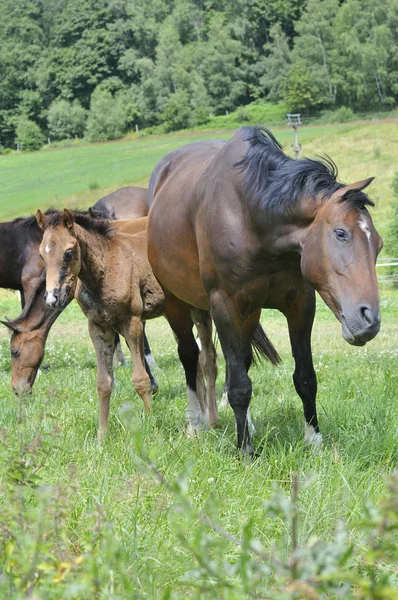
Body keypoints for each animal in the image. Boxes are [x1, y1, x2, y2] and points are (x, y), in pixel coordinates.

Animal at [148, 126, 384, 454]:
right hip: (177, 303)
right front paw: (245, 451)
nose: (369, 320)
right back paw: (195, 424)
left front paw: (314, 441)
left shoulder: (300, 303)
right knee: (190, 356)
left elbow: (305, 377)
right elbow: (238, 385)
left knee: (240, 362)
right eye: (340, 233)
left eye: (379, 245)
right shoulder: (224, 305)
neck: (251, 217)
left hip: (249, 313)